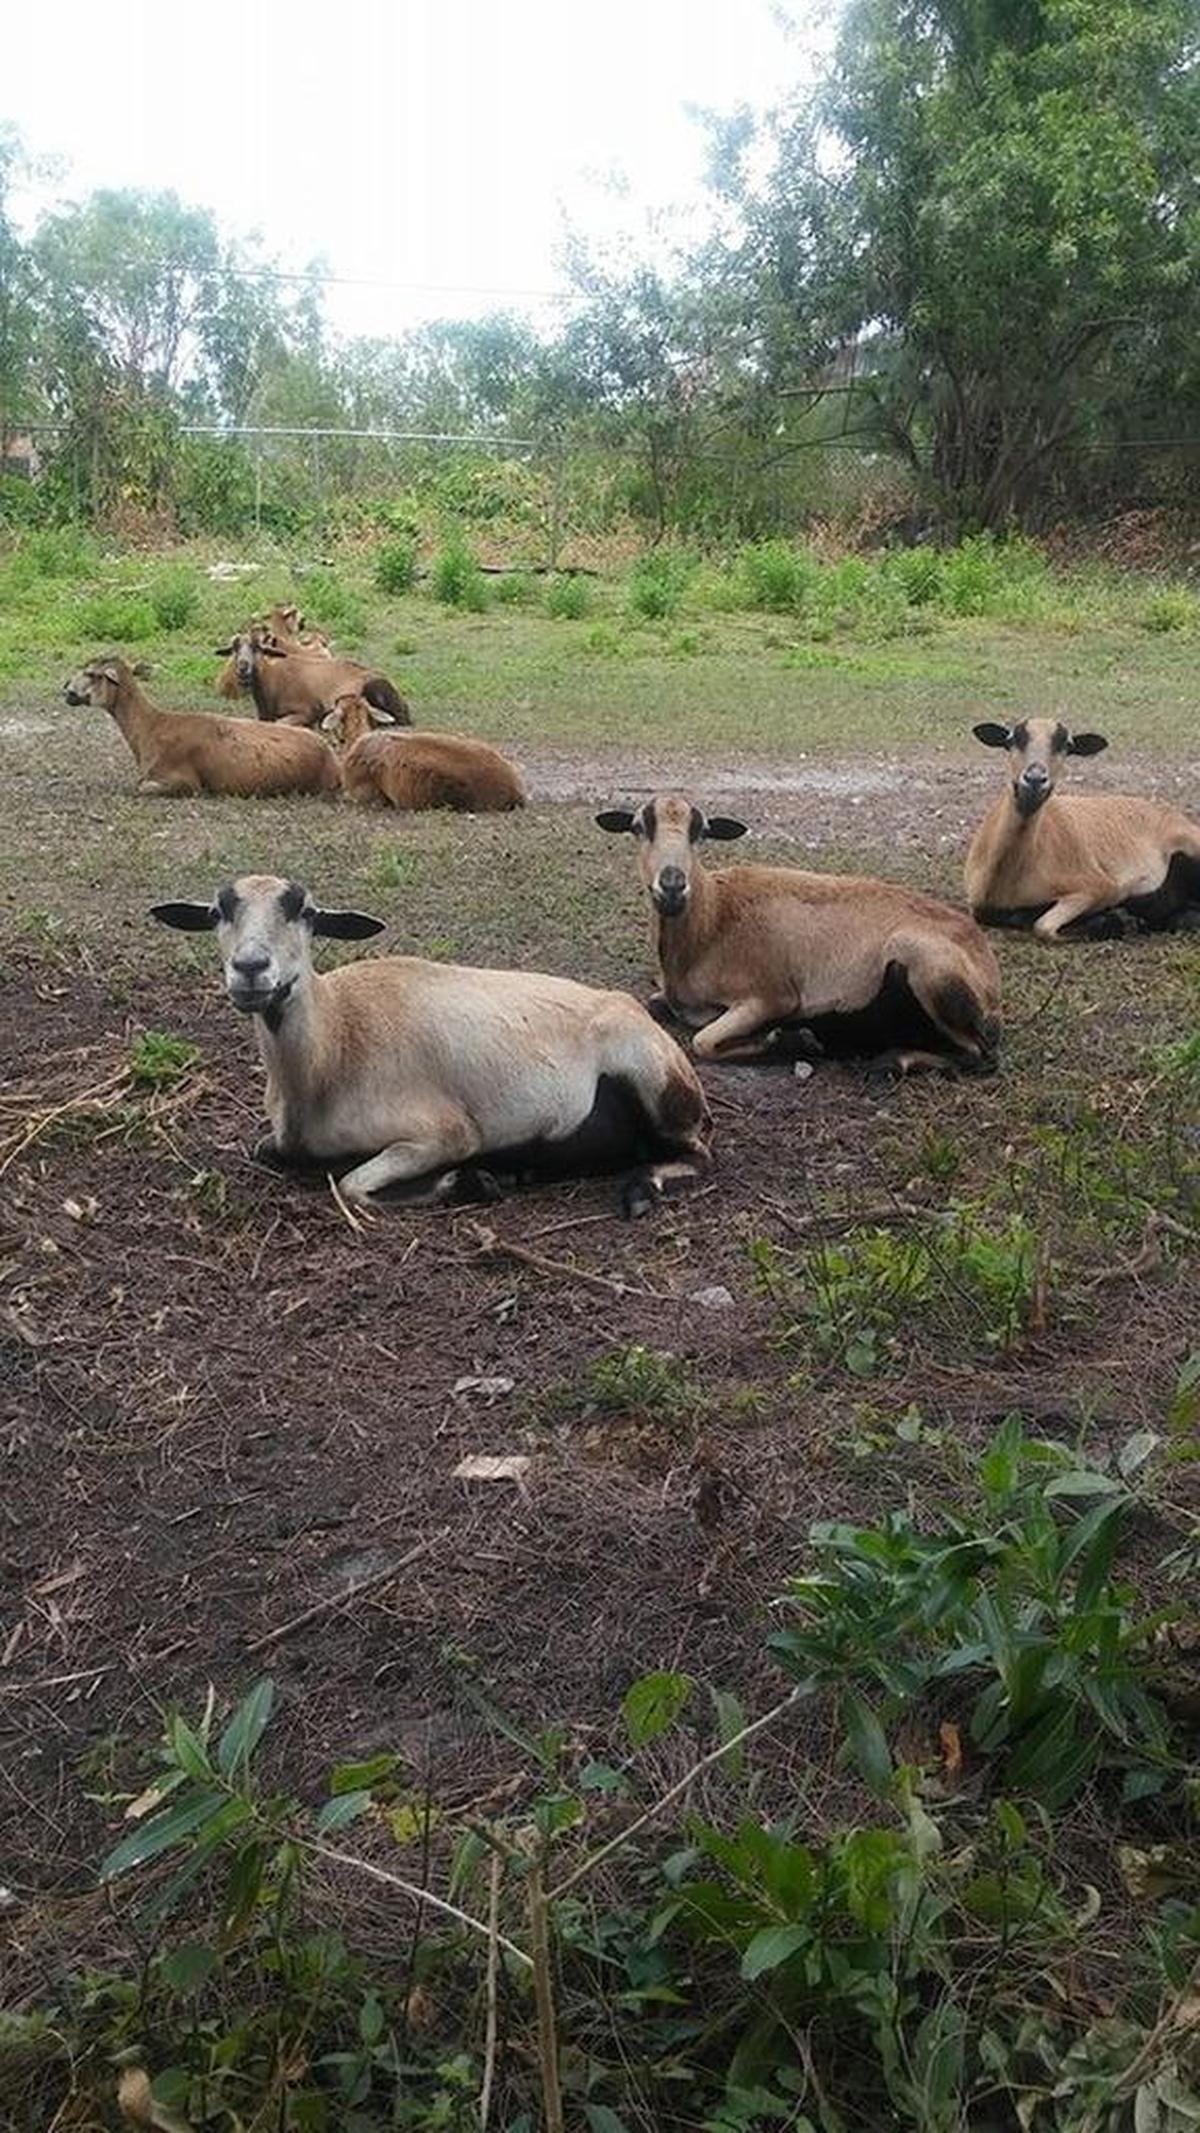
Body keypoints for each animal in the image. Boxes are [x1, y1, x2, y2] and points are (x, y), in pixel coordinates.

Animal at [64, 656, 340, 799]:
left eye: (92, 674)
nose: (67, 691)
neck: (150, 728)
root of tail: (332, 760)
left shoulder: (183, 781)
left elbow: (140, 787)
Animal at [149, 873, 711, 1214]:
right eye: (217, 912)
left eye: (306, 912)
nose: (251, 970)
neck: (332, 1044)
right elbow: (270, 1153)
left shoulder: (444, 1134)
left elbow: (351, 1187)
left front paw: (471, 1183)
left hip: (654, 1082)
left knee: (698, 1155)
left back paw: (639, 1191)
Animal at [597, 792, 1001, 1075]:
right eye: (638, 827)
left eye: (702, 830)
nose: (671, 886)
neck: (712, 919)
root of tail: (987, 968)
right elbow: (653, 1004)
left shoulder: (771, 997)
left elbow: (703, 1041)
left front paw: (796, 1041)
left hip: (924, 963)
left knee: (979, 1055)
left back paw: (890, 1063)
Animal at [965, 717, 1200, 939]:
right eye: (1010, 740)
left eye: (1067, 745)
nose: (1035, 779)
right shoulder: (980, 907)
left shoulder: (1100, 887)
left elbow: (1044, 927)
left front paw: (1118, 921)